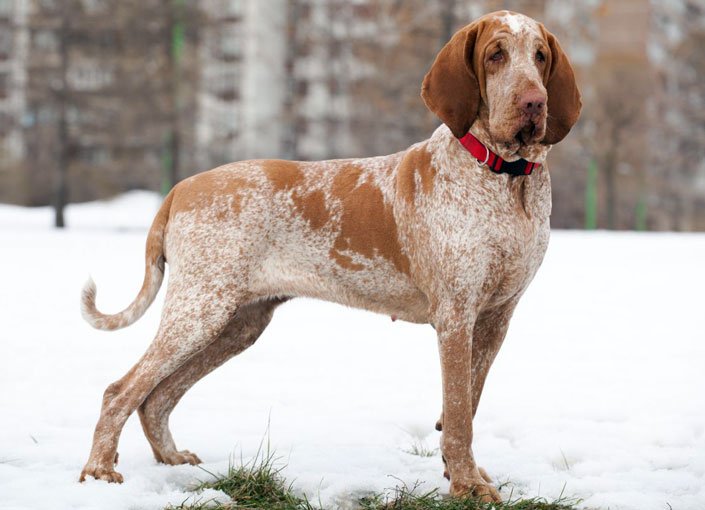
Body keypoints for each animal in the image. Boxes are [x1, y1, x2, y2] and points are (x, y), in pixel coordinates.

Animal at [81, 10, 576, 502]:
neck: (506, 179)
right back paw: (100, 471)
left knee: (158, 397)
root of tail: (180, 188)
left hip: (237, 325)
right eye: (495, 55)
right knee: (120, 390)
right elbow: (457, 415)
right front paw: (468, 486)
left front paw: (462, 474)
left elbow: (466, 406)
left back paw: (171, 460)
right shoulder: (456, 317)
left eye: (540, 56)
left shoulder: (494, 319)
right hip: (200, 312)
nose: (534, 102)